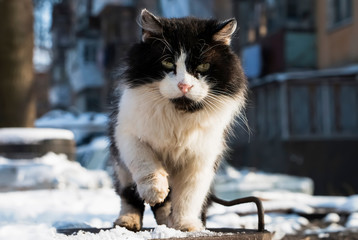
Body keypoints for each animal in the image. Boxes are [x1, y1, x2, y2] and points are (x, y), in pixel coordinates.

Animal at [109, 8, 248, 232]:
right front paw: (155, 190)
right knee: (129, 196)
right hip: (122, 170)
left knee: (167, 205)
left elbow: (188, 197)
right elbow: (146, 163)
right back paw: (128, 221)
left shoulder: (202, 158)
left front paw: (185, 225)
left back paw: (168, 222)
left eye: (203, 66)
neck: (179, 114)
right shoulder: (126, 133)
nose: (184, 86)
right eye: (167, 62)